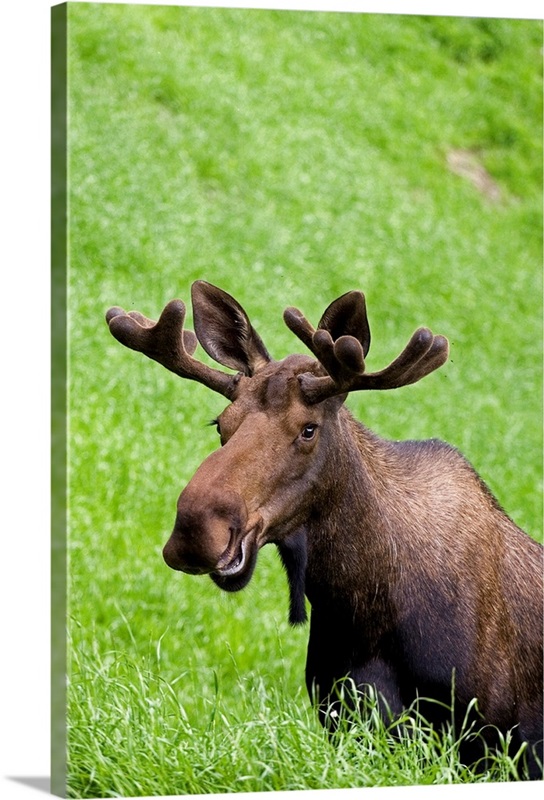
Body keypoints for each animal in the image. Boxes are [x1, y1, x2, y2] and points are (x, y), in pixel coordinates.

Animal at [105, 280, 540, 776]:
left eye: (308, 429)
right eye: (220, 425)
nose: (195, 532)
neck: (360, 607)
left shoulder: (496, 741)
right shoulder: (348, 723)